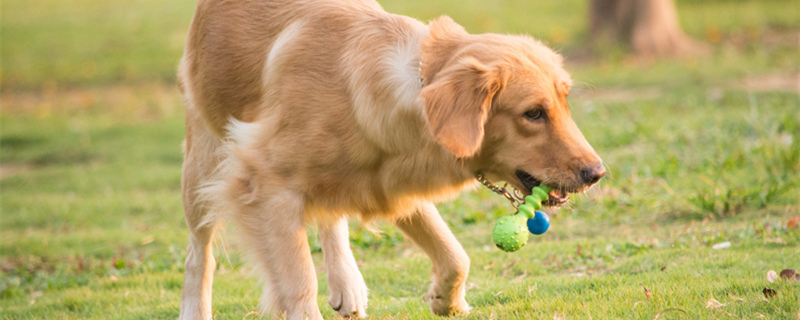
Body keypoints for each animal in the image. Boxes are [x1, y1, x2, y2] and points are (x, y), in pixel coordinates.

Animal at [178, 0, 604, 318]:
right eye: (533, 113)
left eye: (565, 103)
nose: (597, 173)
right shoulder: (264, 185)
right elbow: (299, 281)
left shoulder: (391, 185)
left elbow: (456, 255)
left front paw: (446, 301)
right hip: (203, 163)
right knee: (200, 252)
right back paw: (194, 308)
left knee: (330, 215)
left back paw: (346, 281)